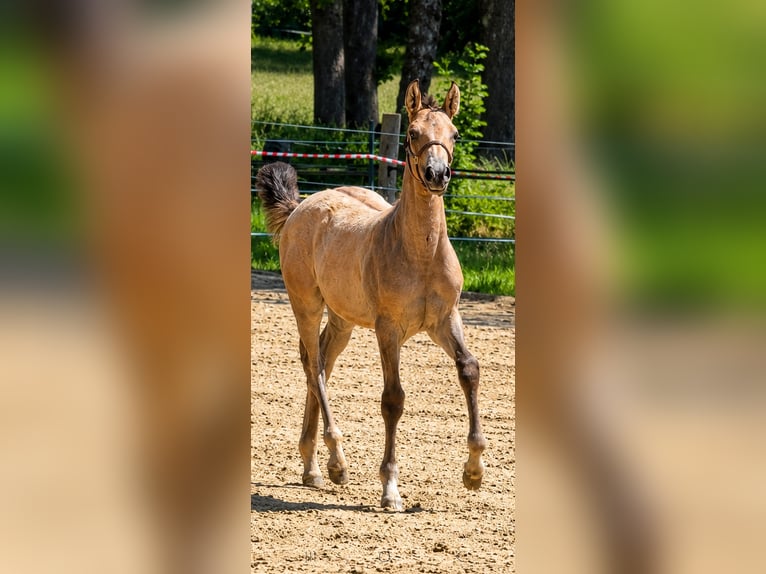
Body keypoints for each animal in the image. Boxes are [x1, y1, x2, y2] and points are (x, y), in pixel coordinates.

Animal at [255, 80, 486, 510]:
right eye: (413, 133)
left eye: (455, 135)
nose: (437, 174)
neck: (421, 252)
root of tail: (300, 207)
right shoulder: (388, 328)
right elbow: (393, 398)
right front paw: (390, 488)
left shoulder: (445, 319)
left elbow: (469, 369)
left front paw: (474, 472)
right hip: (305, 304)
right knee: (314, 366)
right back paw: (336, 462)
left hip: (342, 319)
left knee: (321, 361)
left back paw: (312, 466)